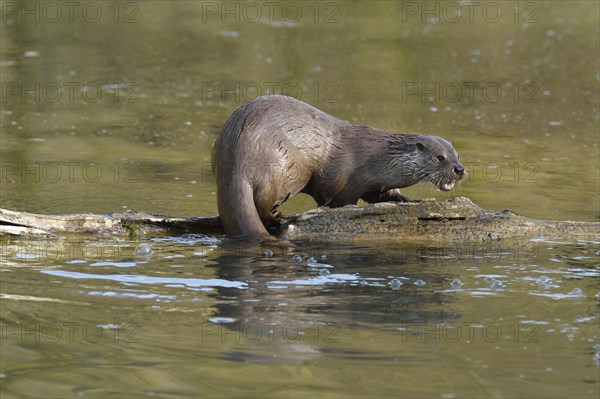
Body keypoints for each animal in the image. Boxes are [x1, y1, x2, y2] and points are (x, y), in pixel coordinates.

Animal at [213, 94, 466, 241]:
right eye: (440, 157)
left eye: (457, 155)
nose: (460, 169)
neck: (375, 156)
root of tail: (237, 162)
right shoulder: (347, 180)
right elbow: (337, 199)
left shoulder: (372, 184)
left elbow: (380, 195)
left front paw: (403, 199)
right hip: (283, 170)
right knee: (263, 202)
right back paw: (278, 216)